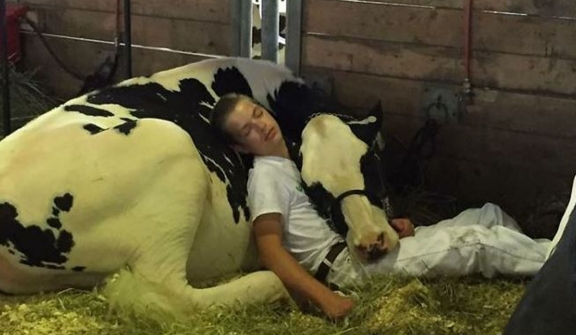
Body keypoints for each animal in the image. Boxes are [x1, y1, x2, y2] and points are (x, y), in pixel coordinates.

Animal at [0, 58, 398, 320]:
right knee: (166, 294)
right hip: (173, 153)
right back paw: (271, 288)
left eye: (372, 163)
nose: (372, 241)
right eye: (315, 190)